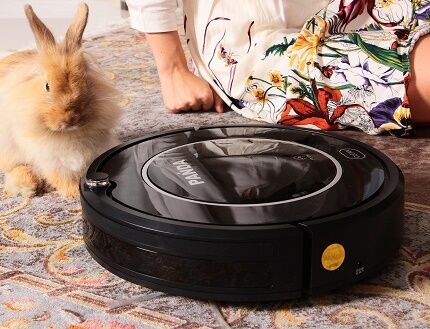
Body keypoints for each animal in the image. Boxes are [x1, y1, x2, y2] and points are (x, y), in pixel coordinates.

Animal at [0, 3, 122, 197]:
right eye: (47, 86)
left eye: (85, 81)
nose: (71, 119)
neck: (68, 135)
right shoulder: (51, 162)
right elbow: (61, 179)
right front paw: (74, 192)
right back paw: (28, 185)